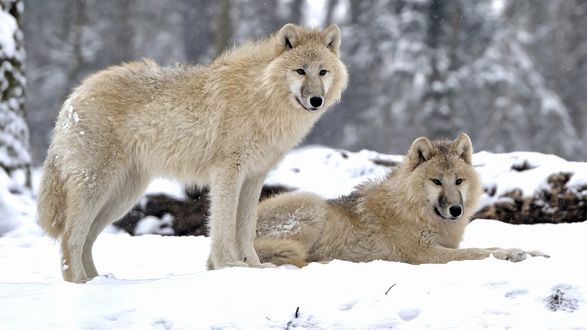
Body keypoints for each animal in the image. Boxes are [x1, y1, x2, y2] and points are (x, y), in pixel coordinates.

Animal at [36, 23, 346, 282]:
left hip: (122, 197)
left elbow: (246, 228)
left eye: (322, 72)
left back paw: (97, 281)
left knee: (87, 239)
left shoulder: (254, 176)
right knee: (70, 237)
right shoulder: (227, 172)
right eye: (300, 71)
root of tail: (74, 96)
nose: (316, 100)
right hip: (98, 188)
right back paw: (78, 283)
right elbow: (223, 225)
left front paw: (255, 267)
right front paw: (229, 265)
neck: (261, 95)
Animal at [255, 133, 548, 266]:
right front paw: (511, 254)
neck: (413, 210)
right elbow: (478, 251)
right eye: (436, 181)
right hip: (311, 205)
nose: (455, 210)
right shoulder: (427, 254)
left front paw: (534, 252)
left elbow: (491, 245)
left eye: (458, 181)